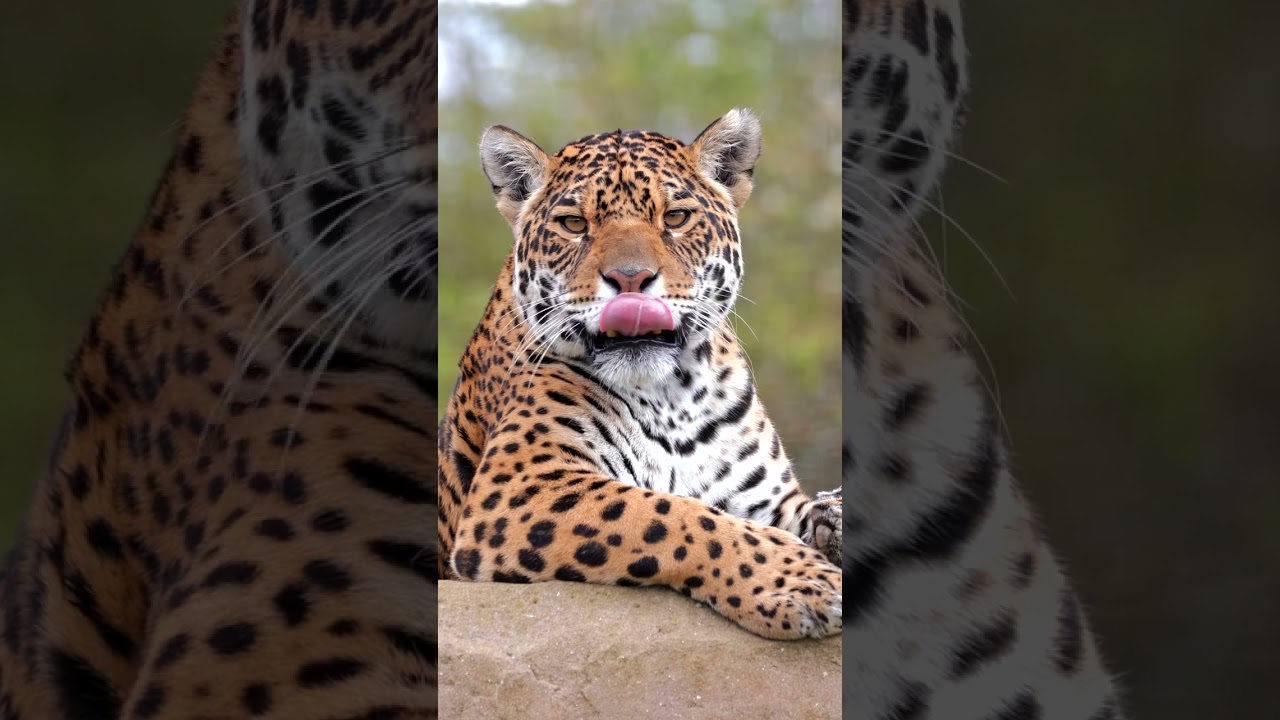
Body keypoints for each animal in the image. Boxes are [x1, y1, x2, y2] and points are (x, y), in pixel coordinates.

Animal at [437, 109, 845, 641]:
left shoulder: (766, 499)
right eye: (574, 224)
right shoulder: (516, 486)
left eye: (675, 218)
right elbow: (669, 513)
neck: (672, 395)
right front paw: (799, 580)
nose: (630, 279)